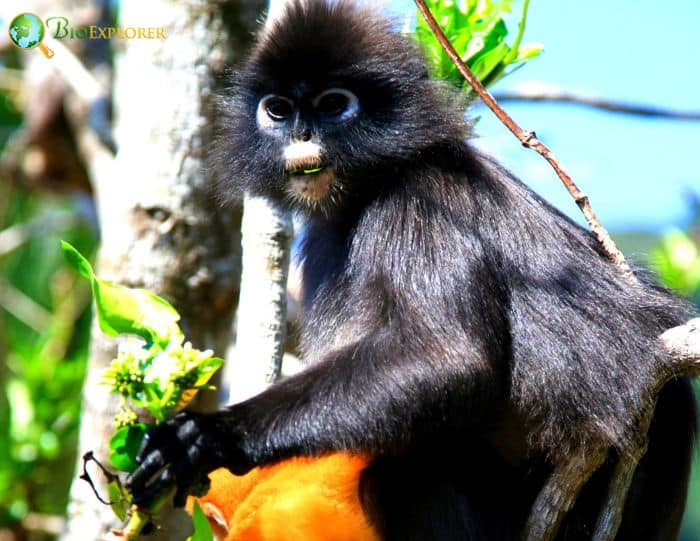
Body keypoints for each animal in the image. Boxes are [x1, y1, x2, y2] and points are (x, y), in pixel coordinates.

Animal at [124, 2, 696, 536]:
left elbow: (450, 357)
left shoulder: (417, 204)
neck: (368, 187)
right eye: (278, 110)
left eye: (334, 105)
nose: (301, 134)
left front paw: (212, 436)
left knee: (405, 479)